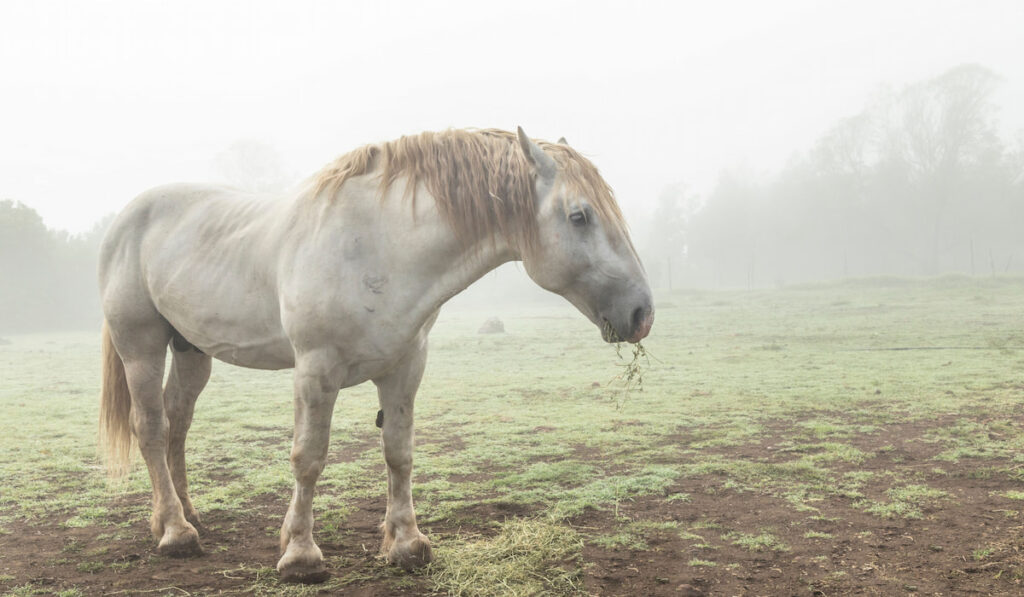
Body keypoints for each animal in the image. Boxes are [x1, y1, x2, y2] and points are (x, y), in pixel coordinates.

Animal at [99, 127, 651, 585]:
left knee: (177, 422)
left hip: (191, 350)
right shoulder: (316, 369)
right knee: (151, 427)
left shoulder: (404, 368)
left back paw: (182, 514)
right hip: (140, 346)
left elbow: (398, 453)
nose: (642, 311)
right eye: (579, 216)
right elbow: (309, 458)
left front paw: (406, 545)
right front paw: (300, 555)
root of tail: (126, 218)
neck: (380, 248)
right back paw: (176, 533)